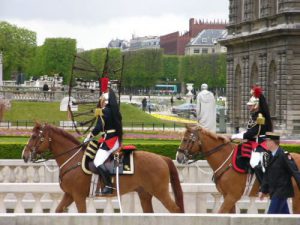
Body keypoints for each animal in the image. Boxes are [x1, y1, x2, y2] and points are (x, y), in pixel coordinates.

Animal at [22, 123, 184, 213]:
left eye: (35, 137)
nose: (24, 155)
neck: (73, 159)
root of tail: (162, 158)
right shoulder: (69, 195)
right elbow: (58, 210)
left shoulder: (78, 196)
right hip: (144, 193)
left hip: (160, 192)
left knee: (175, 211)